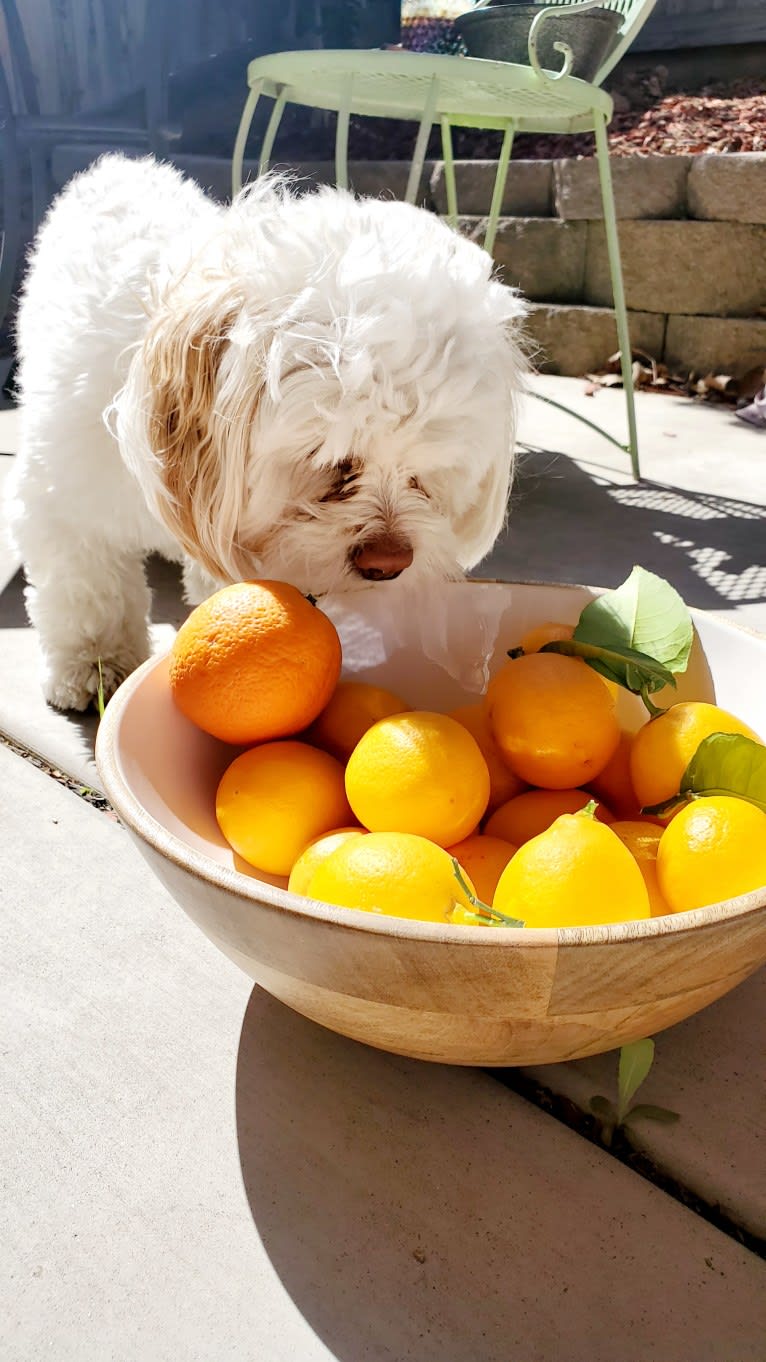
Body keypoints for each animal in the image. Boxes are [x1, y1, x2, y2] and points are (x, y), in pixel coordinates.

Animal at [7, 155, 523, 713]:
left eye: (427, 471)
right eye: (330, 461)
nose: (389, 563)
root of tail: (121, 163)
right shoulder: (66, 497)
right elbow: (87, 588)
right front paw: (94, 663)